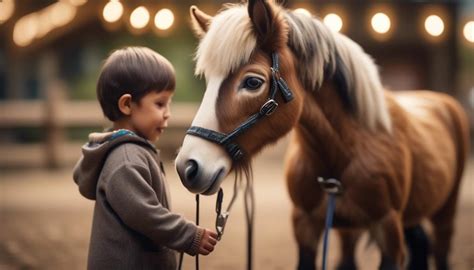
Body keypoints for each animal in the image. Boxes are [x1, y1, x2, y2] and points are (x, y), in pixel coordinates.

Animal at [175, 1, 470, 268]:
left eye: (252, 82)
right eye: (209, 81)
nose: (187, 167)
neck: (345, 152)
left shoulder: (388, 229)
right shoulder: (306, 226)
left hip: (444, 214)